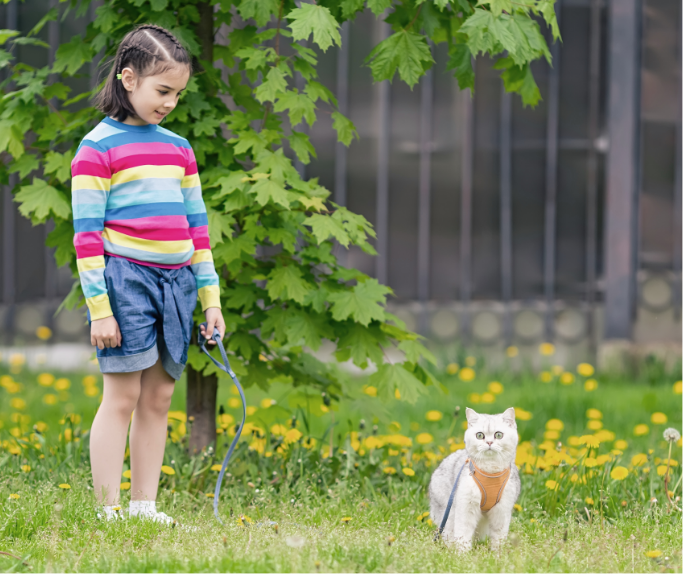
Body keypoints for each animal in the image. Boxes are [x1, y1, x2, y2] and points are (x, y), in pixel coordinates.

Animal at [430, 410, 520, 552]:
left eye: (498, 435)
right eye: (479, 435)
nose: (489, 442)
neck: (490, 472)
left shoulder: (502, 510)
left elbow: (499, 537)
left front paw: (497, 554)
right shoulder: (466, 506)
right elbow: (463, 534)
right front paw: (462, 554)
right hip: (448, 513)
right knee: (448, 533)